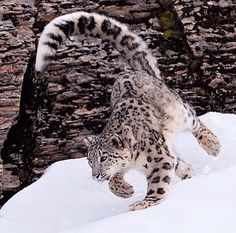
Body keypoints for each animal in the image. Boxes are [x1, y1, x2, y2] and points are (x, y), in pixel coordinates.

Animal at [35, 10, 221, 211]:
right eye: (90, 161)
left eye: (103, 158)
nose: (95, 175)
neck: (134, 160)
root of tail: (134, 71)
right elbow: (113, 181)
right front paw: (124, 190)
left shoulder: (159, 157)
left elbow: (157, 182)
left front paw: (144, 203)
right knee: (179, 159)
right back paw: (188, 173)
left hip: (179, 111)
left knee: (194, 119)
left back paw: (213, 145)